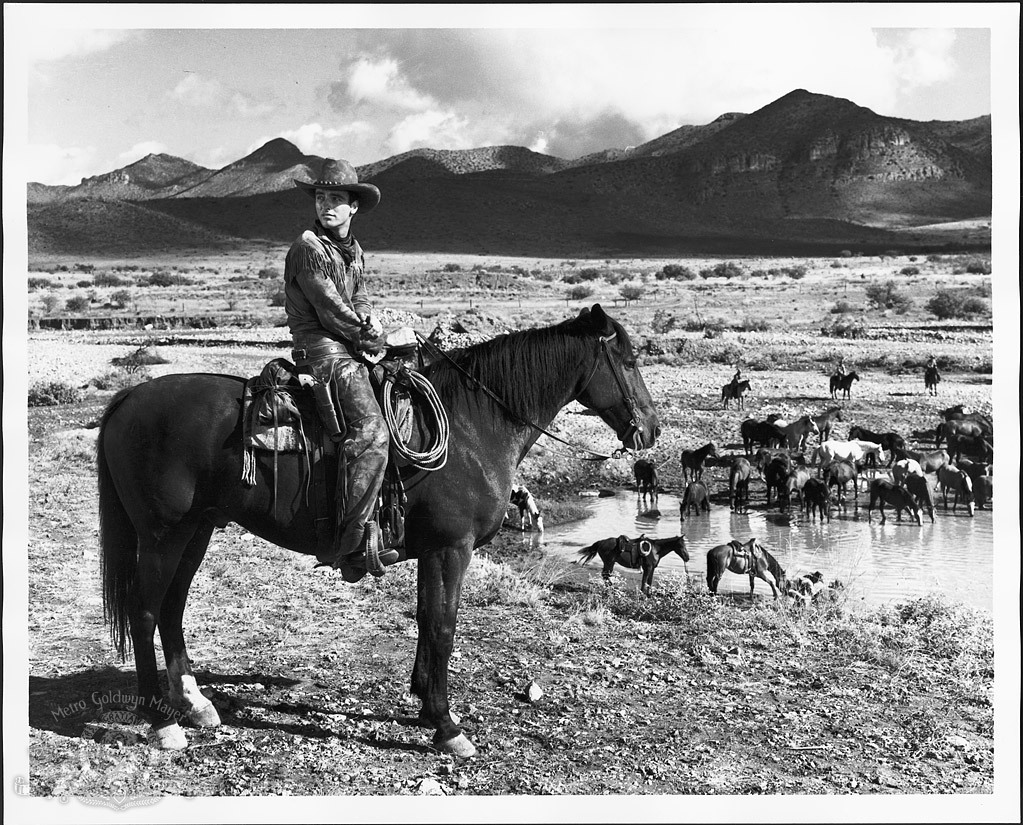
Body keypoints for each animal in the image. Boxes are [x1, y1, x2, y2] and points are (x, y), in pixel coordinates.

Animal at [99, 309, 658, 757]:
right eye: (628, 361)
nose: (651, 430)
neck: (473, 426)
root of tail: (129, 397)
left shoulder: (433, 552)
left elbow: (426, 620)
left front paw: (426, 707)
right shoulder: (450, 549)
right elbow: (443, 627)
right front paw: (447, 727)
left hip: (196, 531)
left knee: (171, 610)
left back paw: (195, 704)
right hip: (162, 535)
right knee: (146, 613)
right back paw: (163, 721)